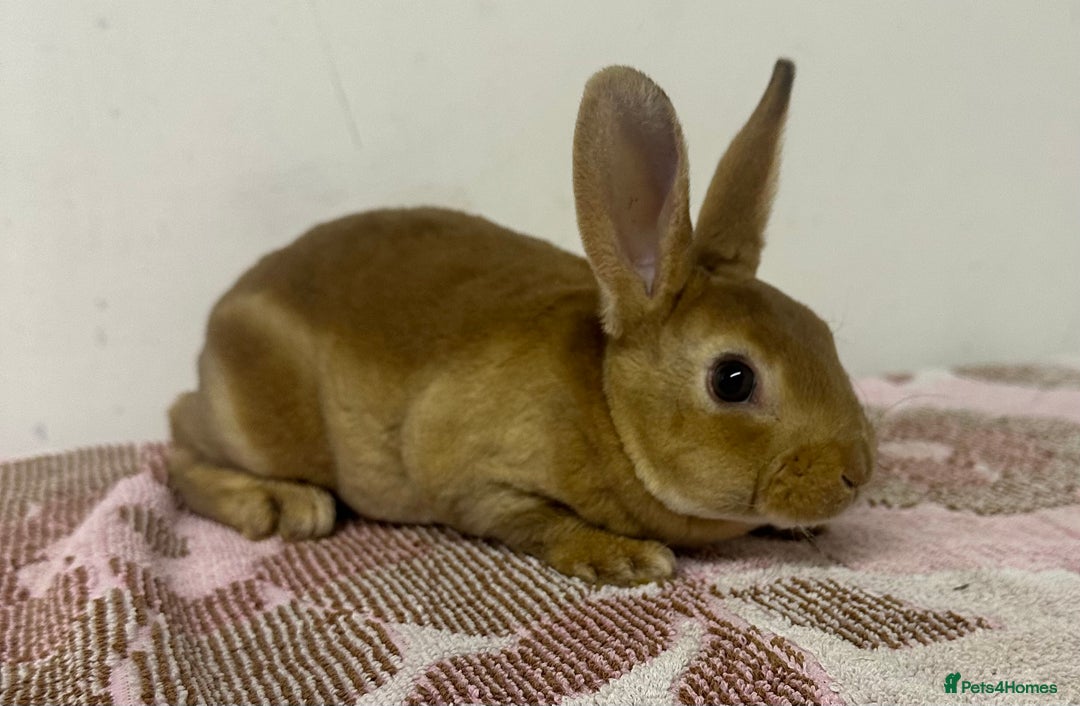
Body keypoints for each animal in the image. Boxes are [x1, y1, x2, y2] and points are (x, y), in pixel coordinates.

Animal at [168, 59, 875, 586]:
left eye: (823, 335)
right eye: (733, 379)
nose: (858, 473)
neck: (610, 409)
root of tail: (219, 319)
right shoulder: (476, 480)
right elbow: (535, 522)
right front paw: (622, 557)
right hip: (260, 423)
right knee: (177, 446)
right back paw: (282, 504)